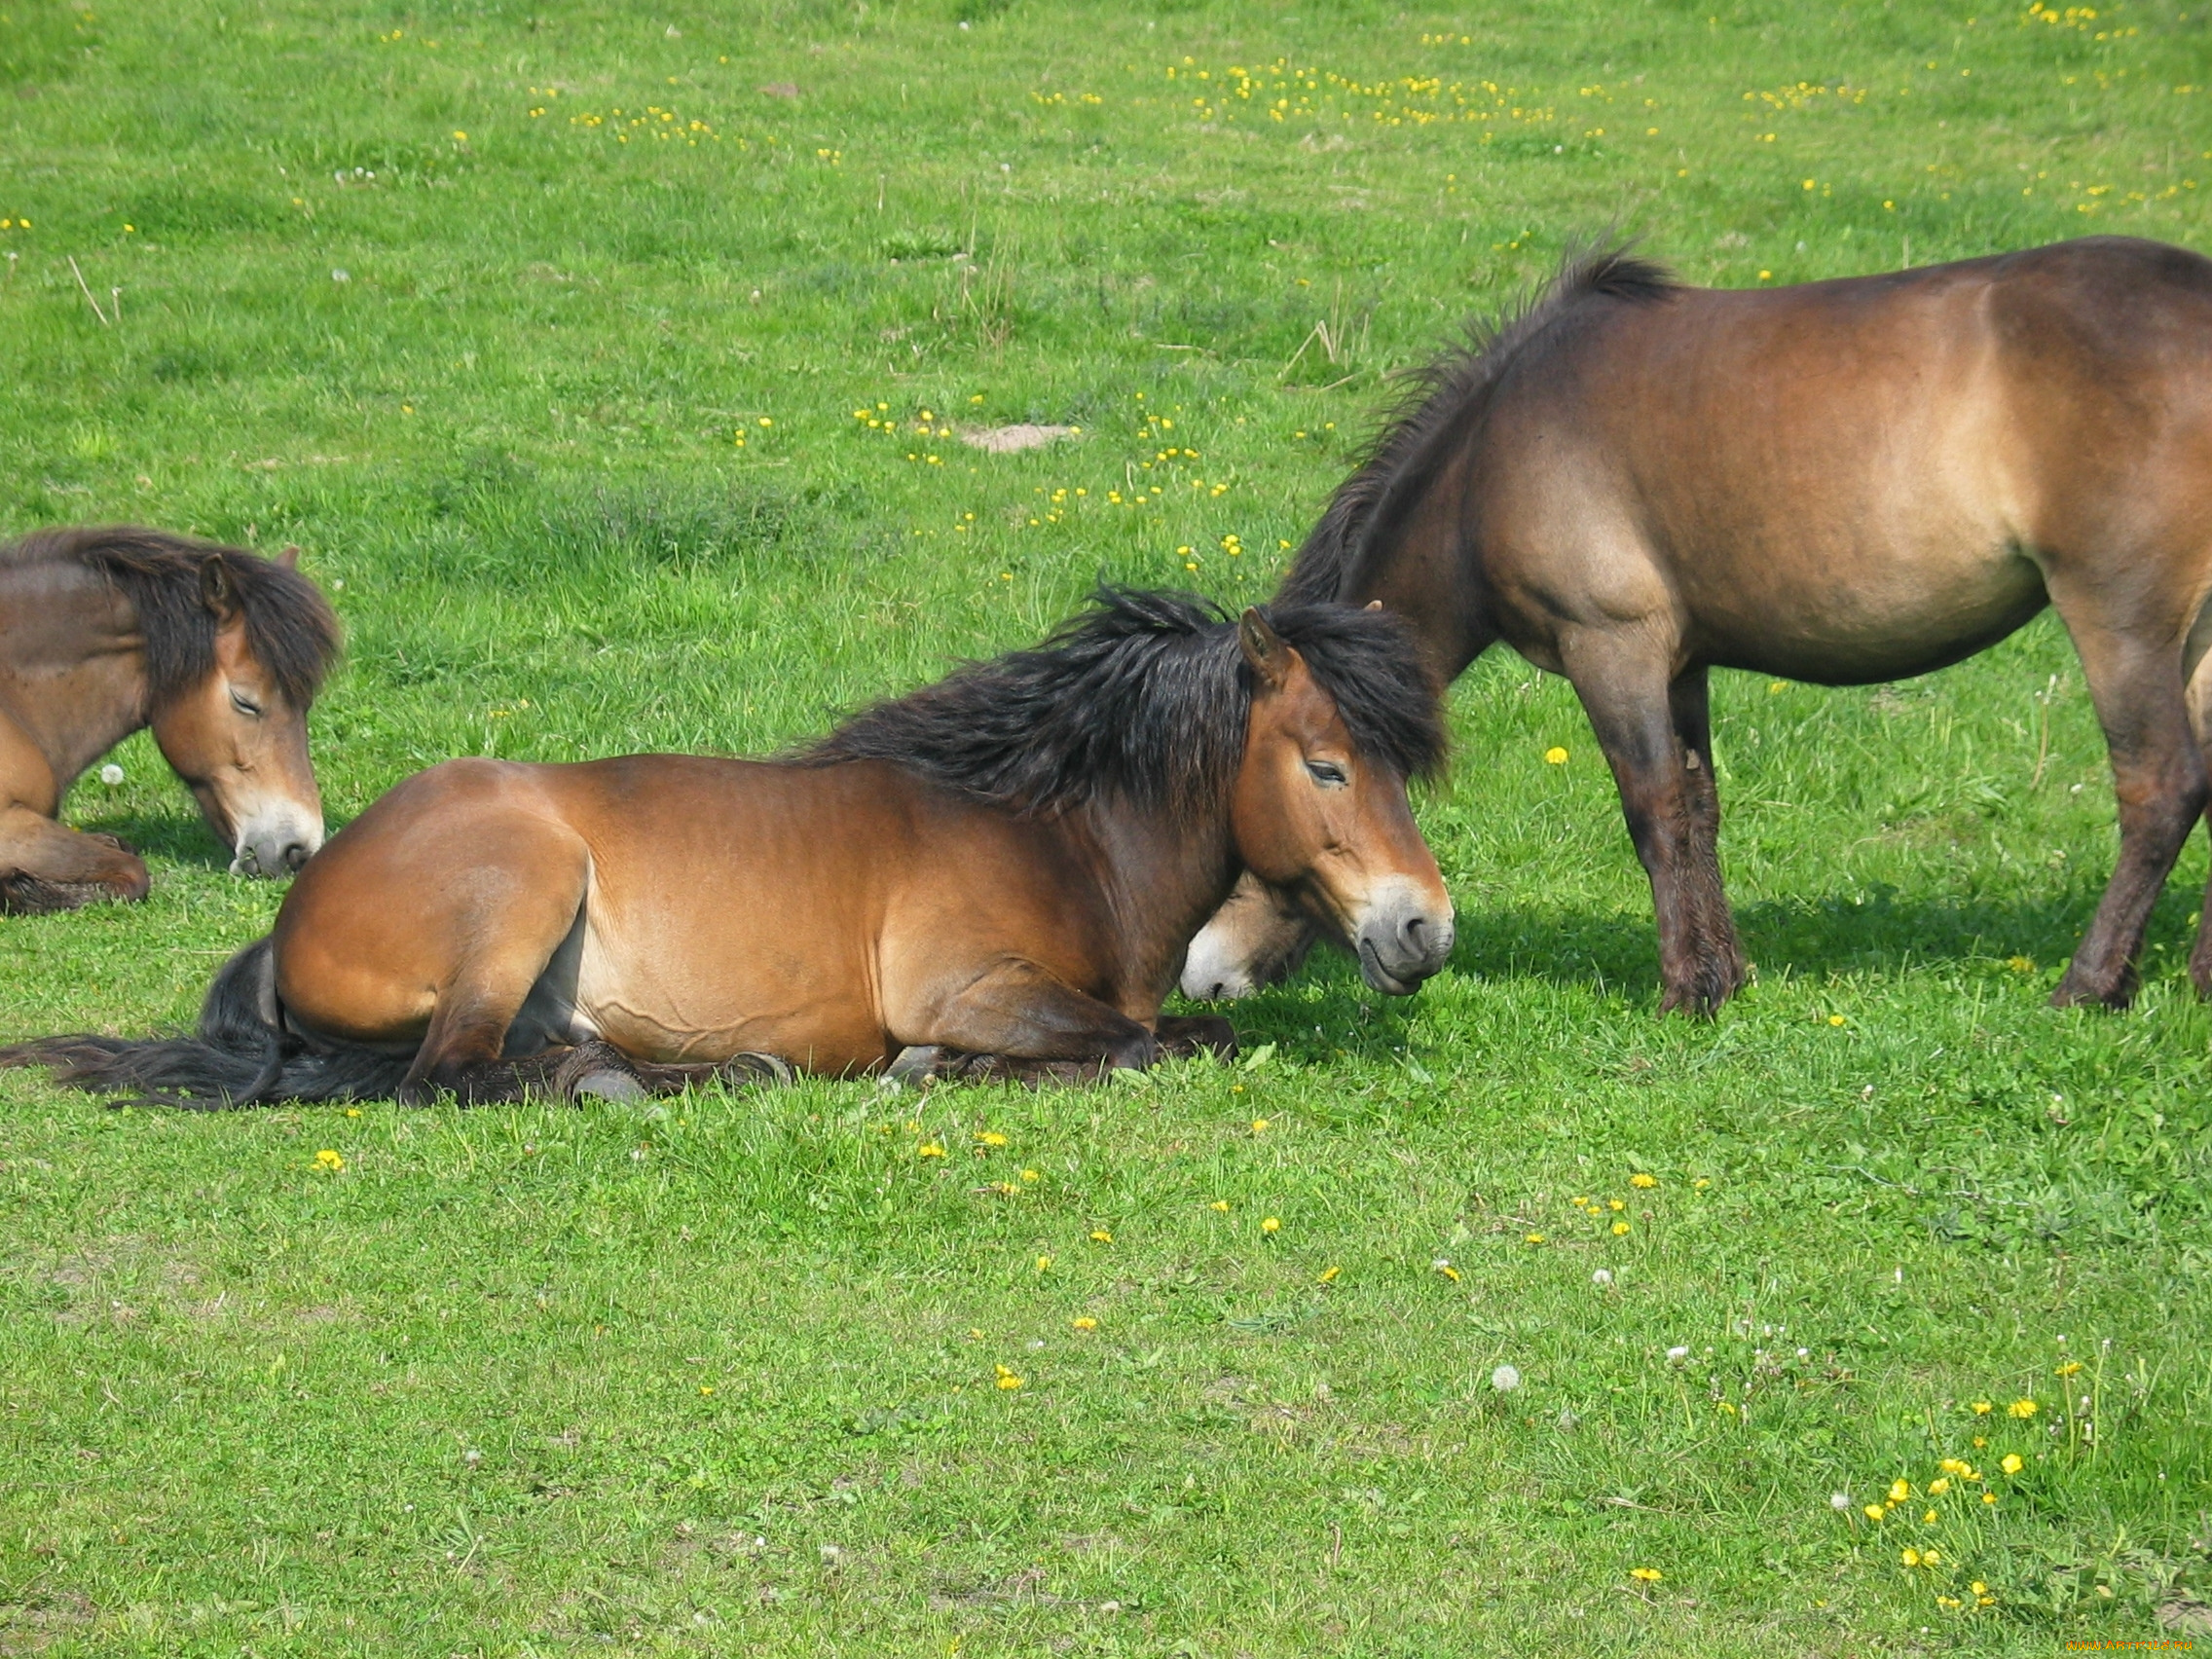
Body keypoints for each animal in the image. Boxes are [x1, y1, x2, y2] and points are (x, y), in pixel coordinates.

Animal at [1, 526, 340, 911]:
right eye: (244, 701)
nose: (299, 851)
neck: (13, 703)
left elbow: (119, 847)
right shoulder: (11, 824)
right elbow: (133, 873)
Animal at [8, 592, 1459, 1110]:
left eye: (1394, 764)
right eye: (1327, 766)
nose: (1424, 928)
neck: (1053, 833)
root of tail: (303, 896)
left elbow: (1178, 1034)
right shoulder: (972, 989)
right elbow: (1139, 1045)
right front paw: (940, 1072)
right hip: (525, 885)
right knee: (455, 1074)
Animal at [1185, 232, 2212, 1013]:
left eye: (1309, 775)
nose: (1202, 973)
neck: (1490, 460)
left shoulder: (1615, 646)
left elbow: (1654, 812)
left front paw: (1686, 990)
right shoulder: (1681, 664)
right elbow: (1702, 806)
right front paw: (1731, 972)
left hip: (2120, 618)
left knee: (2162, 788)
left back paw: (2088, 987)